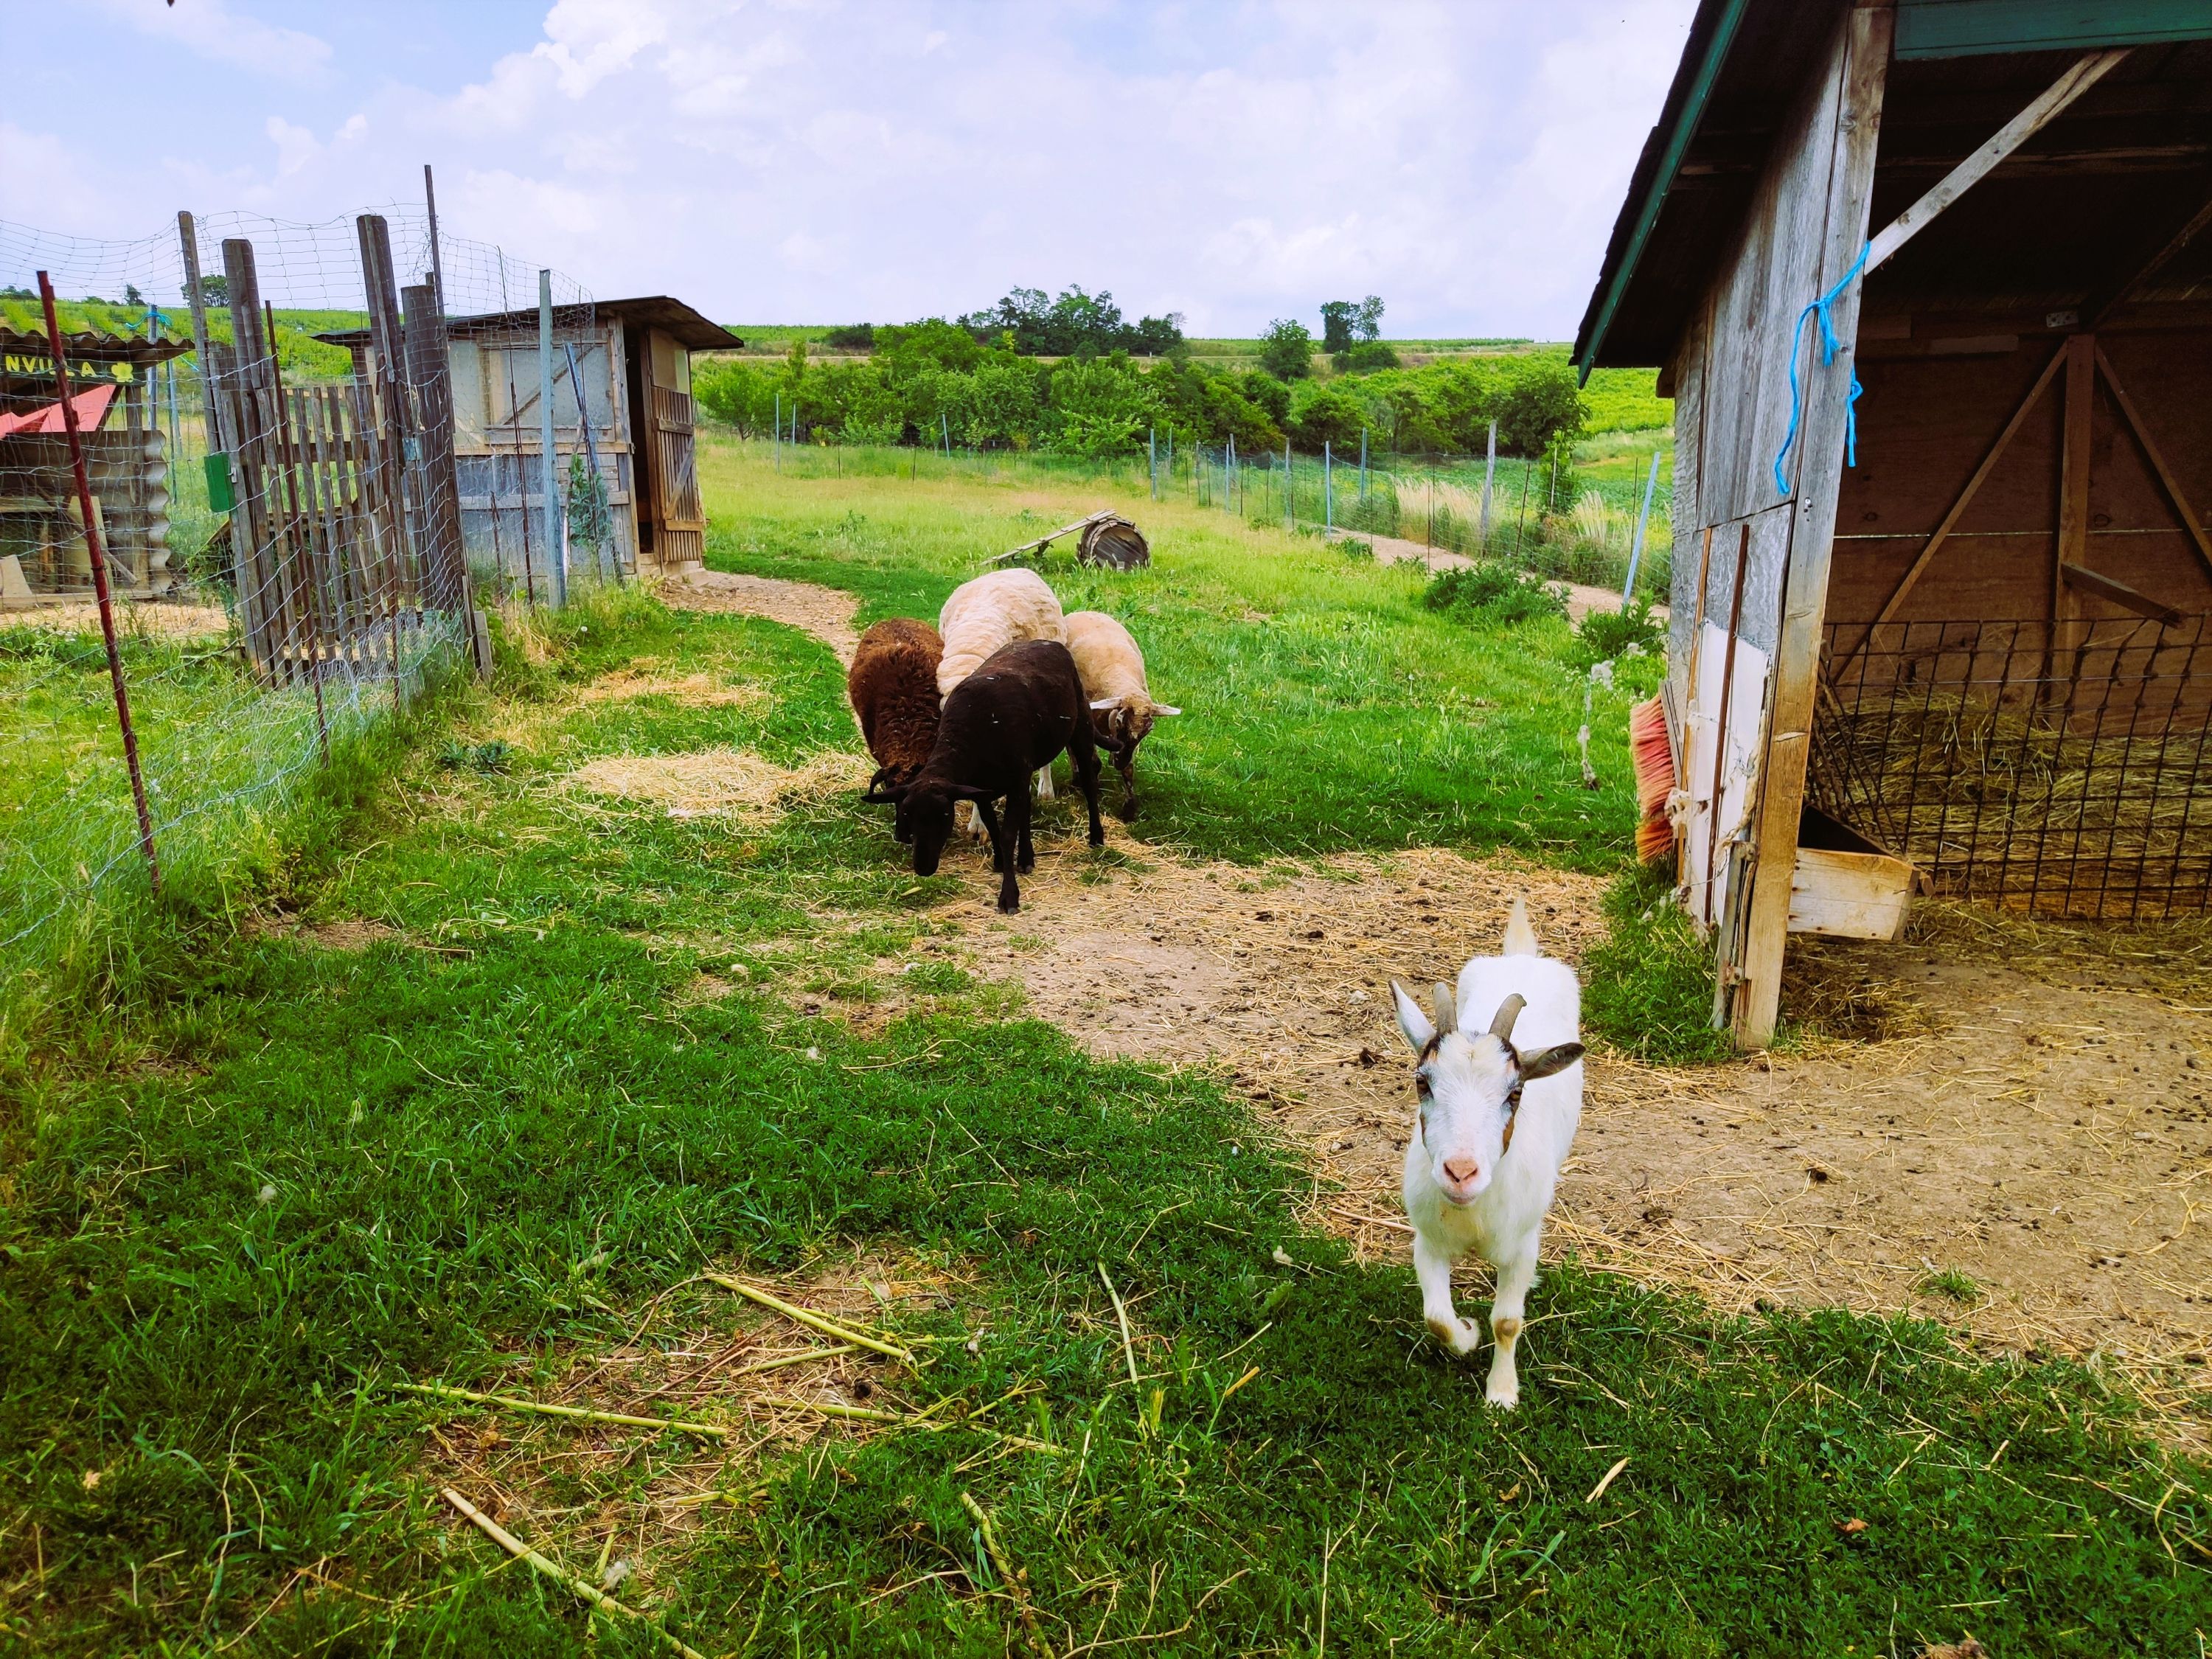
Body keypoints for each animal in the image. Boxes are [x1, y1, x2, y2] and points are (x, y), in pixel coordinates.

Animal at [890, 639, 1104, 912]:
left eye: (945, 815)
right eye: (907, 815)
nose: (923, 868)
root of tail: (1047, 642)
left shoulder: (1014, 779)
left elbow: (1006, 835)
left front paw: (1009, 896)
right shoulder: (982, 789)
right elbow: (993, 826)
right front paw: (1002, 862)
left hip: (1080, 726)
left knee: (1089, 782)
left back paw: (1096, 837)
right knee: (1027, 807)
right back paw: (1026, 858)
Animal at [1062, 610, 1179, 819]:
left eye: (1148, 730)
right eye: (1119, 721)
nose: (1120, 760)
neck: (1122, 681)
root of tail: (1083, 612)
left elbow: (1129, 770)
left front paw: (1129, 809)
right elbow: (1093, 762)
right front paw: (1092, 787)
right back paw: (1076, 777)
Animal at [1389, 897, 1585, 1409]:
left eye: (1514, 1093)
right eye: (1422, 1083)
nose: (1461, 1173)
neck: (1472, 1214)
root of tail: (1520, 956)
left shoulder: (1521, 1248)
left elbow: (1509, 1321)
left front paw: (1501, 1394)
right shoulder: (1428, 1240)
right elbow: (1436, 1318)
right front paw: (1467, 1332)